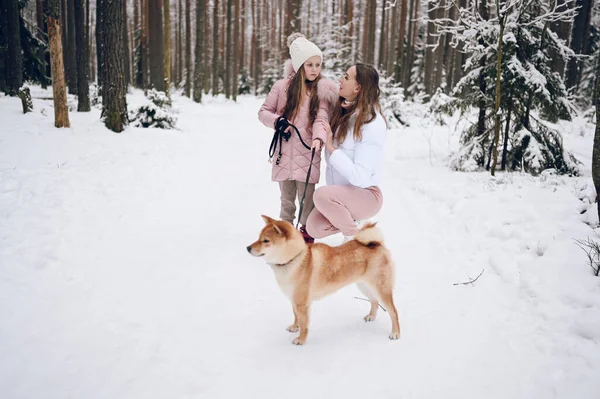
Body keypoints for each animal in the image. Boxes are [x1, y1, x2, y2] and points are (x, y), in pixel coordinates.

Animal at [246, 216, 400, 346]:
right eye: (258, 237)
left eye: (266, 241)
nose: (248, 248)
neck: (294, 258)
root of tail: (377, 244)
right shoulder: (294, 300)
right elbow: (296, 317)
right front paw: (295, 327)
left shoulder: (302, 304)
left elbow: (304, 324)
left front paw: (301, 340)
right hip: (364, 286)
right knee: (374, 301)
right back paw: (371, 317)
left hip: (380, 288)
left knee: (393, 311)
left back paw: (395, 333)